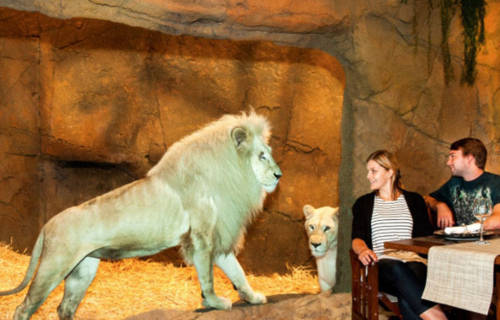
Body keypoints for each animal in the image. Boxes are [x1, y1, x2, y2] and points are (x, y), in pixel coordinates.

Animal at [0, 111, 282, 318]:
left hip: (83, 270)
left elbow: (237, 272)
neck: (232, 172)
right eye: (262, 156)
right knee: (23, 308)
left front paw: (253, 297)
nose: (279, 175)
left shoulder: (218, 236)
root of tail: (48, 223)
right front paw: (214, 302)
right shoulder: (201, 236)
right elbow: (208, 276)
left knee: (65, 308)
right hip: (54, 265)